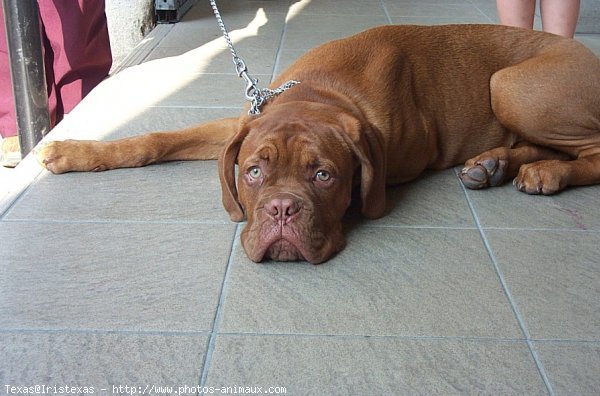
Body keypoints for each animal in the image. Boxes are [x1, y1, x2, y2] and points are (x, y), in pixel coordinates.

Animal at [35, 25, 596, 266]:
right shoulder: (242, 123)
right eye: (253, 172)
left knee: (588, 152)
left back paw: (547, 172)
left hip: (510, 86)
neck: (323, 92)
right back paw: (495, 164)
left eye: (324, 175)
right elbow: (158, 139)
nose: (282, 209)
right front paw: (72, 152)